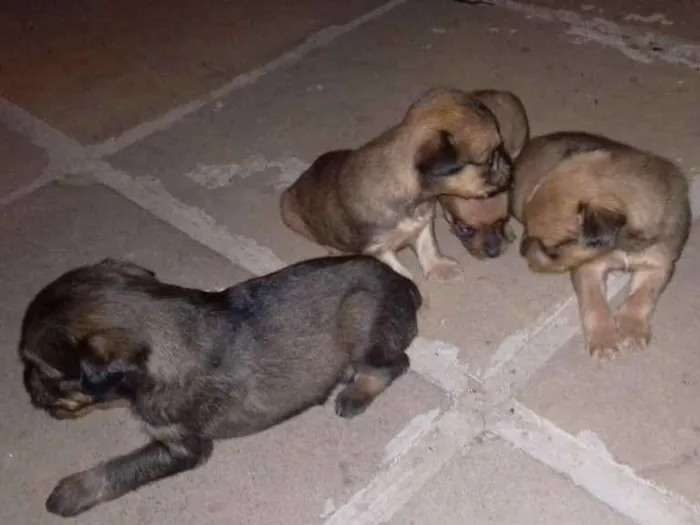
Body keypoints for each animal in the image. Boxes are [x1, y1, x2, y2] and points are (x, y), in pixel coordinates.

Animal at [278, 87, 516, 282]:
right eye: (490, 158)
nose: (509, 163)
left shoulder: (423, 223)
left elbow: (428, 247)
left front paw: (440, 268)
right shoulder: (377, 248)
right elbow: (396, 270)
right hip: (290, 213)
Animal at [512, 132, 692, 360]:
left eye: (551, 251)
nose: (521, 250)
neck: (622, 244)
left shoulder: (659, 265)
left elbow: (641, 297)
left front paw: (632, 328)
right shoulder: (589, 267)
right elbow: (594, 304)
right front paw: (603, 340)